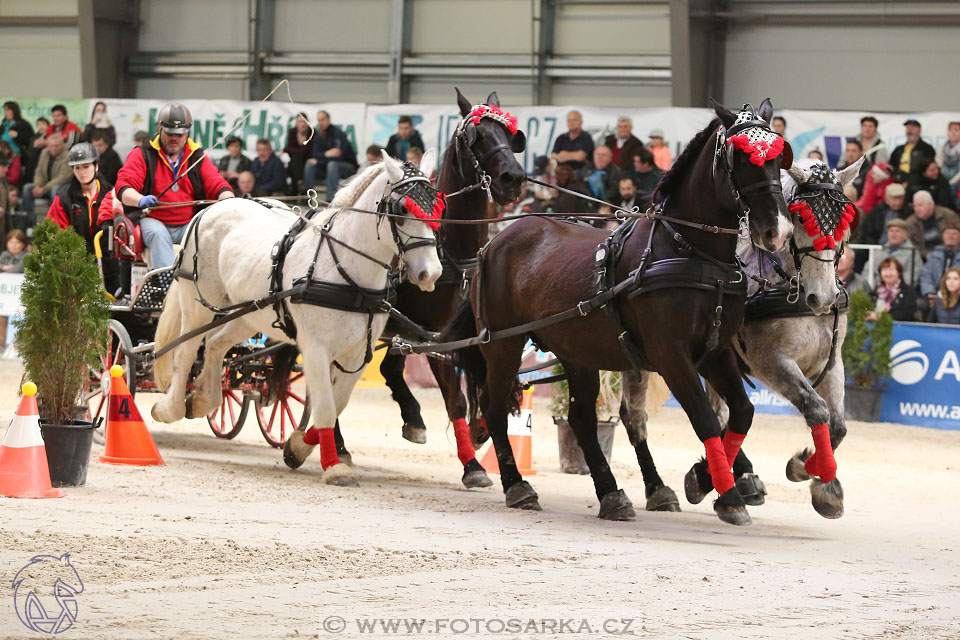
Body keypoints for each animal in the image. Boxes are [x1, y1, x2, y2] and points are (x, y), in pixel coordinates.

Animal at [155, 150, 446, 484]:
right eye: (401, 208)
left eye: (438, 207)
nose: (430, 273)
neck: (346, 274)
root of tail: (211, 208)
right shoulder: (316, 349)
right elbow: (325, 408)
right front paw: (333, 467)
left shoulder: (358, 353)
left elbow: (337, 404)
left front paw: (297, 448)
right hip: (198, 303)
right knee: (186, 352)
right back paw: (169, 408)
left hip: (249, 314)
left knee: (216, 345)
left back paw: (205, 399)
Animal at [328, 90, 524, 488]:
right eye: (475, 137)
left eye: (511, 136)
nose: (513, 178)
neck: (451, 251)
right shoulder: (418, 330)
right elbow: (446, 394)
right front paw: (464, 455)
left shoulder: (436, 332)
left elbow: (463, 394)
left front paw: (473, 452)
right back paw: (337, 445)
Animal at [446, 100, 792, 524]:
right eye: (741, 157)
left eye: (779, 157)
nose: (777, 231)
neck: (691, 252)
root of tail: (494, 243)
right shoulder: (671, 356)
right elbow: (706, 419)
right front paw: (727, 494)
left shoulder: (715, 351)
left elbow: (741, 413)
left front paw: (703, 478)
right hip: (502, 346)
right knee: (496, 410)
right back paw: (517, 486)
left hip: (576, 351)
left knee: (580, 419)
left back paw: (611, 493)